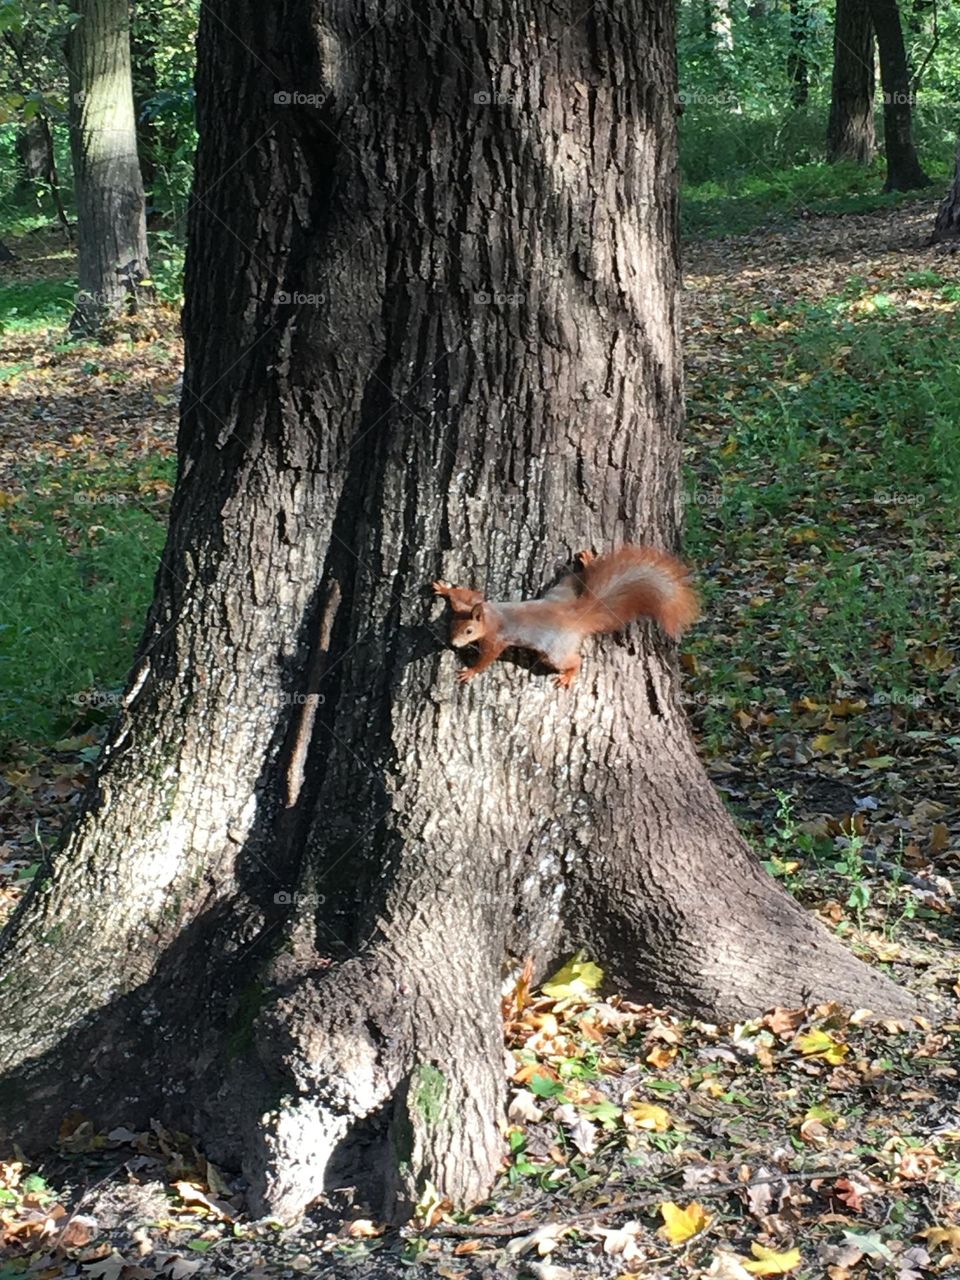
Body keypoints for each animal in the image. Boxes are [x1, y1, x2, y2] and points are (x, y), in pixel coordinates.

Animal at [432, 545, 698, 688]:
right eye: (452, 624)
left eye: (469, 631)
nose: (453, 643)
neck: (488, 616)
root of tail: (576, 614)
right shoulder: (475, 601)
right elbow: (466, 594)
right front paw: (443, 588)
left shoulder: (495, 638)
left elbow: (488, 657)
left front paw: (471, 671)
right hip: (564, 587)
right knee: (582, 578)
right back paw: (588, 561)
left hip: (555, 652)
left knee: (575, 660)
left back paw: (569, 676)